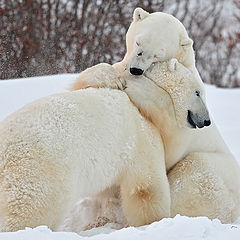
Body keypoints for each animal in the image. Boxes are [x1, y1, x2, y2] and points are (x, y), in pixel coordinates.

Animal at [71, 7, 240, 225]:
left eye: (158, 54)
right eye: (138, 43)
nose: (135, 69)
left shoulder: (183, 123)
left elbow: (168, 142)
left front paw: (133, 85)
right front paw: (113, 78)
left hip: (218, 173)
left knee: (194, 171)